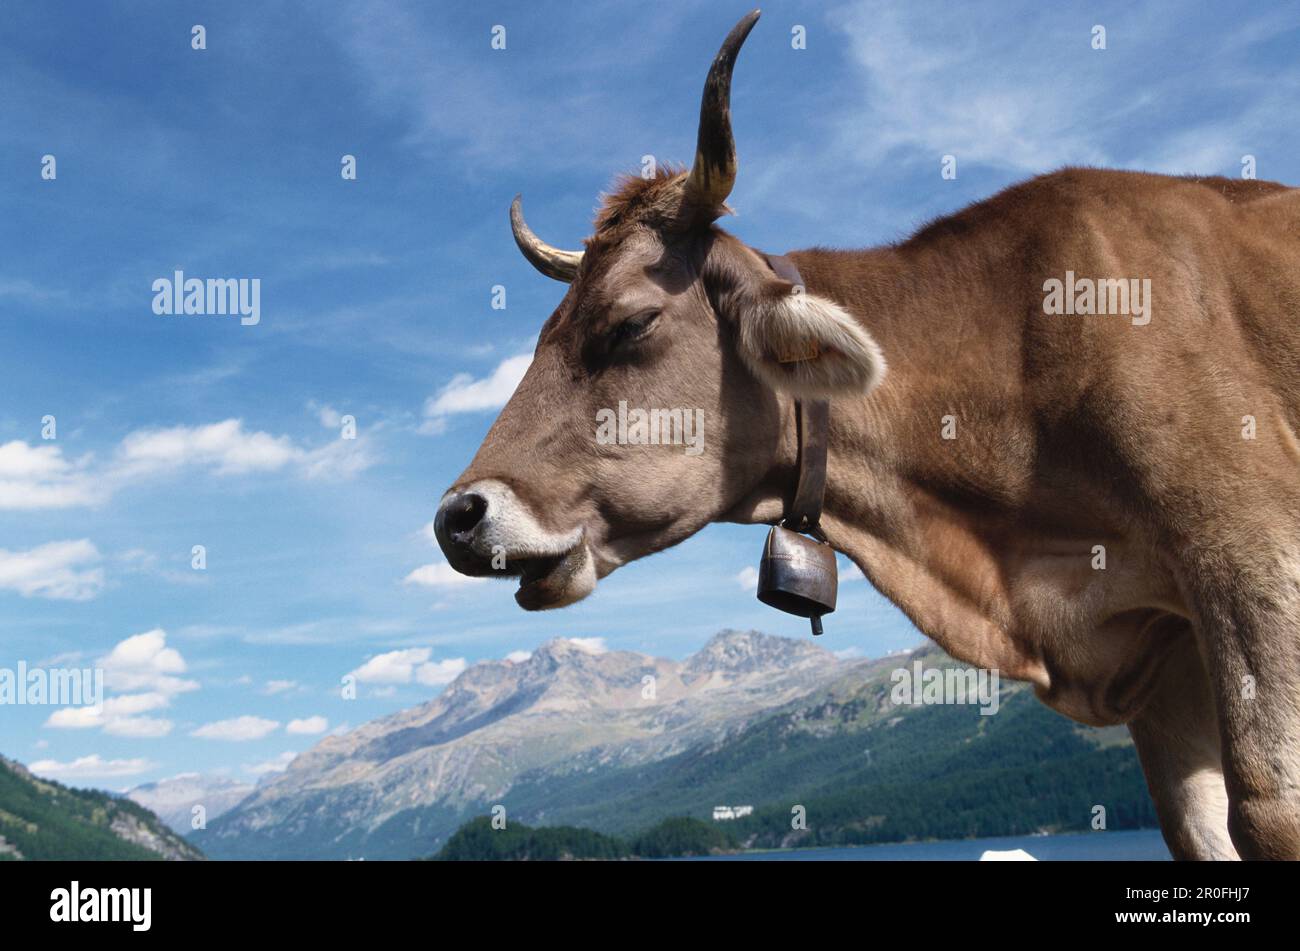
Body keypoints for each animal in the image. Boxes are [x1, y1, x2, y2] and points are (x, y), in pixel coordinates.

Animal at [434, 10, 1300, 860]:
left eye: (631, 323)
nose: (456, 517)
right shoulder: (1163, 659)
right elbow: (1201, 829)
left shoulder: (1246, 552)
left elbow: (1268, 809)